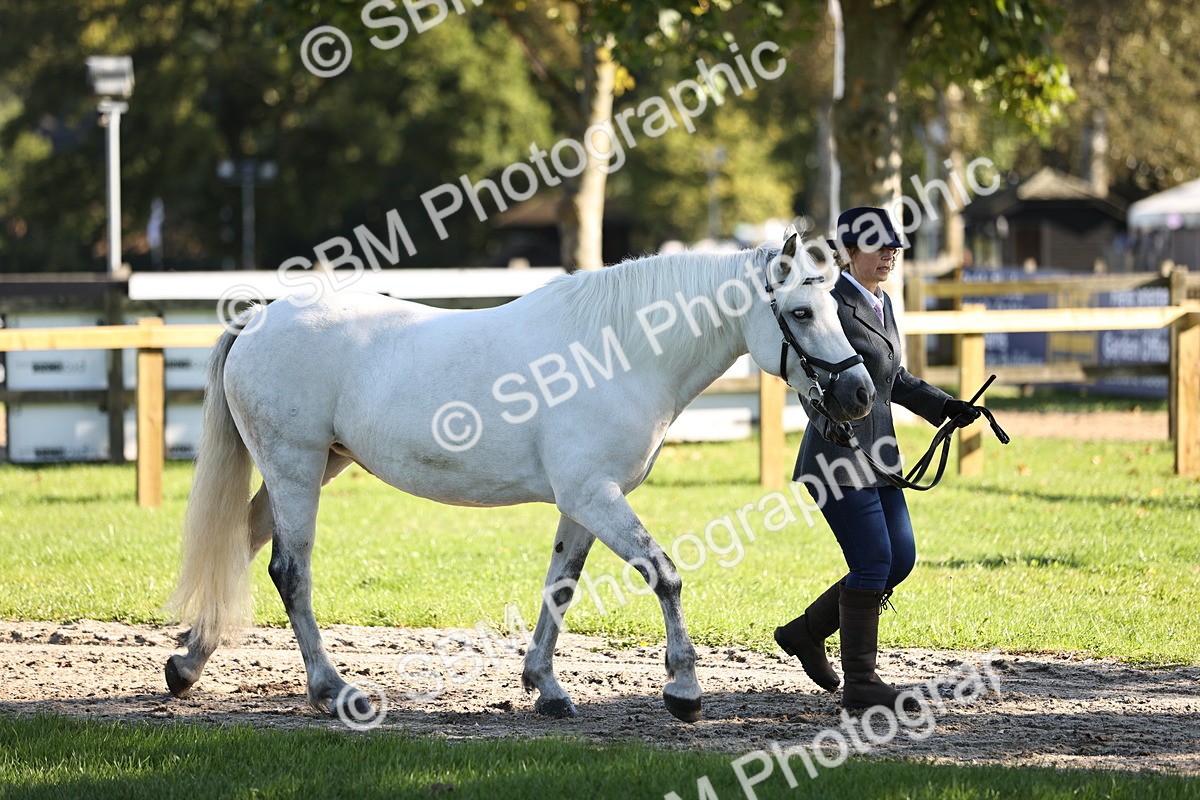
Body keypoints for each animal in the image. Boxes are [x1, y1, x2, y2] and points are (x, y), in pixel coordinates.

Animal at [164, 232, 875, 723]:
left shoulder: (582, 503)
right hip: (295, 465)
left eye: (835, 304)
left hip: (312, 466)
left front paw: (546, 687)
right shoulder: (594, 494)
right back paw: (333, 688)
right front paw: (684, 690)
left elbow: (561, 586)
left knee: (240, 543)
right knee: (290, 570)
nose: (860, 394)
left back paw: (186, 664)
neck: (620, 350)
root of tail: (258, 318)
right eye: (802, 311)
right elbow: (664, 574)